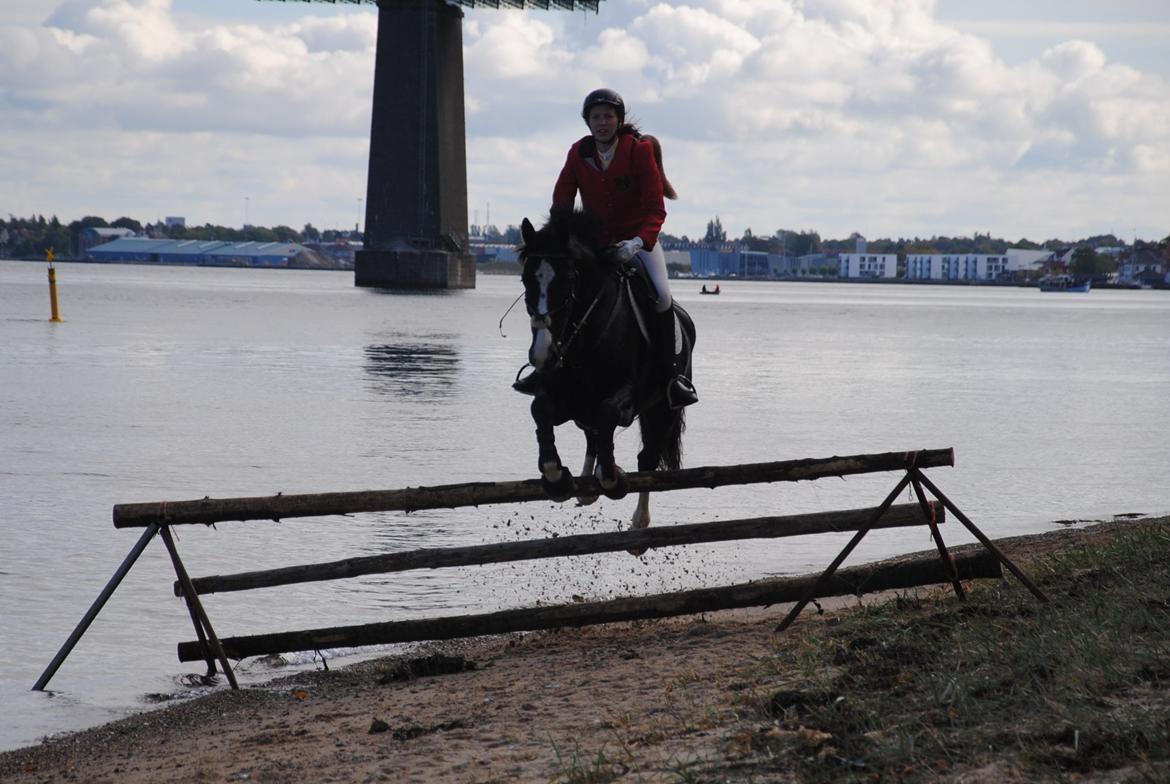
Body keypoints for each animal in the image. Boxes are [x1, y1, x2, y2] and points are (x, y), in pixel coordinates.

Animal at [514, 210, 692, 533]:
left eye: (567, 280)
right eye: (525, 279)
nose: (541, 354)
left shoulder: (628, 395)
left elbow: (608, 413)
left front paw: (611, 478)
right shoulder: (562, 396)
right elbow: (541, 409)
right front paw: (556, 478)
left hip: (663, 410)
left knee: (646, 456)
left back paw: (638, 520)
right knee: (592, 435)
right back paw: (586, 487)